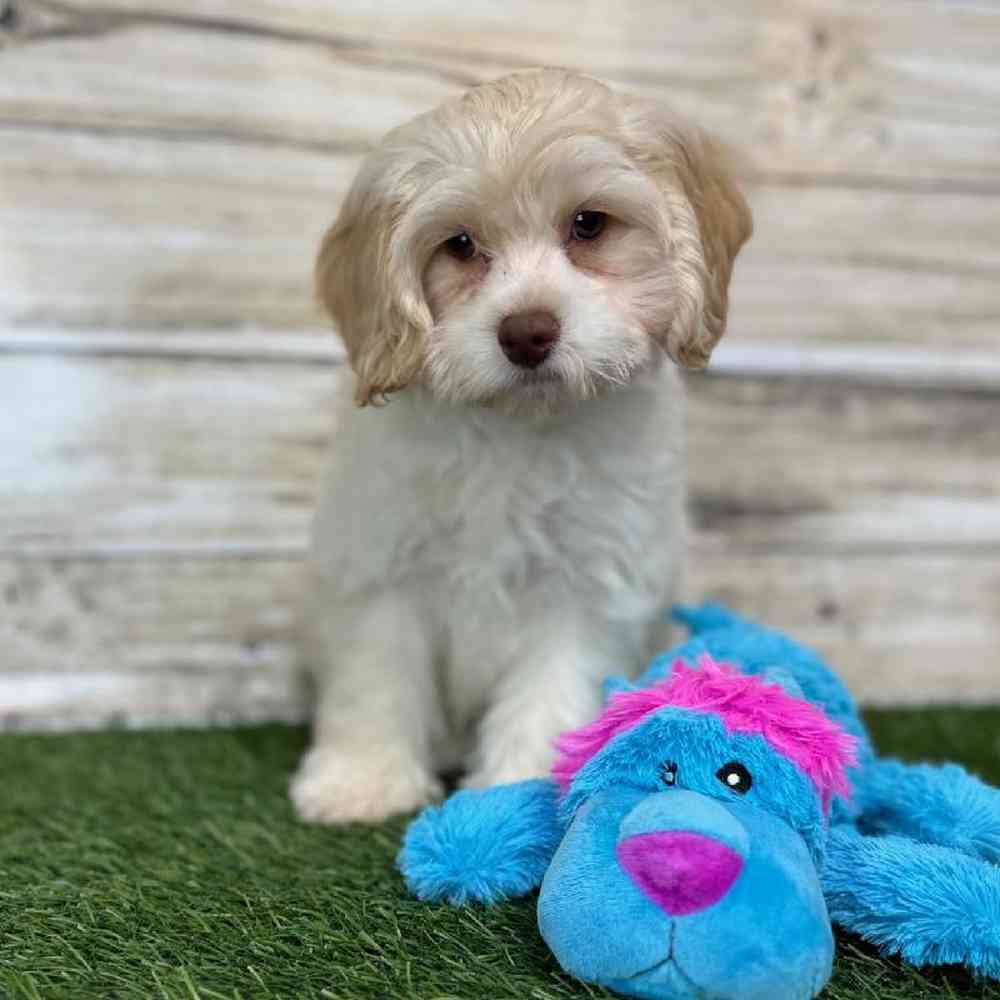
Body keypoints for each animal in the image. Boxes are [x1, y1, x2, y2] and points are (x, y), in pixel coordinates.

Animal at [292, 68, 752, 820]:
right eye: (459, 245)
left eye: (589, 225)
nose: (527, 331)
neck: (516, 425)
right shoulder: (383, 563)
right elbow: (377, 677)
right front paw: (362, 781)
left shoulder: (586, 579)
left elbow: (551, 687)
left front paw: (520, 789)